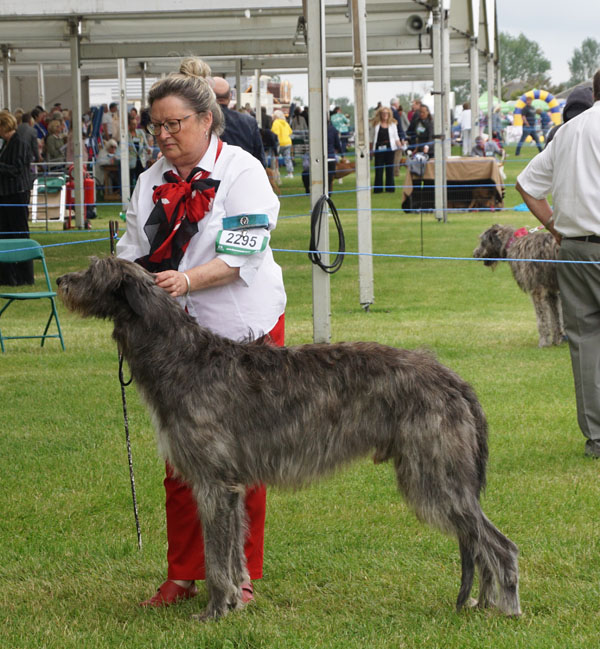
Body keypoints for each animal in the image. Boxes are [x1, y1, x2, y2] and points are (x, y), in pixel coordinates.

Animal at [58, 256, 524, 620]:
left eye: (94, 271)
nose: (62, 279)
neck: (182, 358)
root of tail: (453, 379)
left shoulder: (213, 483)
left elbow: (214, 559)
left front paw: (213, 611)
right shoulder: (233, 487)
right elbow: (234, 554)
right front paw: (234, 604)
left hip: (435, 475)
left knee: (499, 545)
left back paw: (509, 608)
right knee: (478, 542)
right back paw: (483, 603)